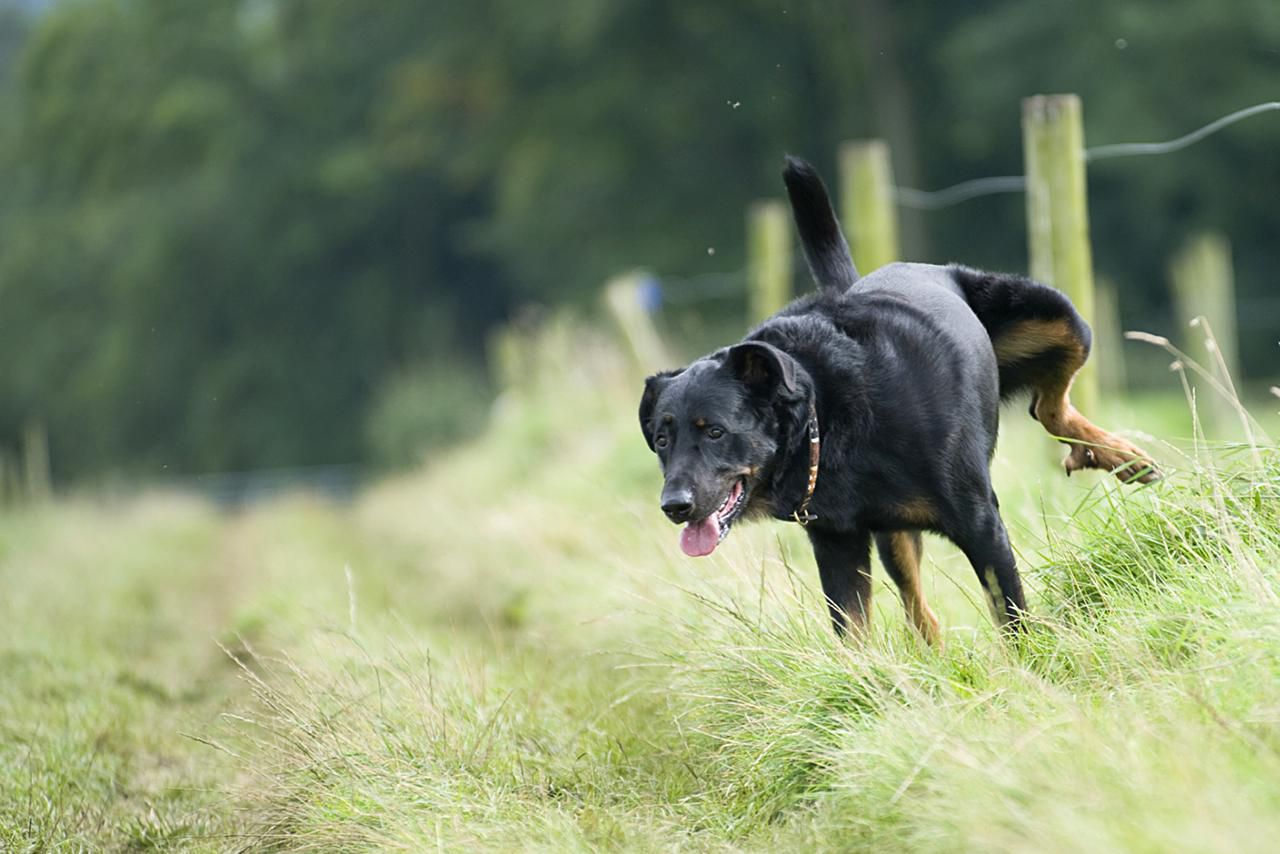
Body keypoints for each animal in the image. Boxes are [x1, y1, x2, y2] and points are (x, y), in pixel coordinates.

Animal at [640, 158, 1162, 640]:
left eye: (715, 431)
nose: (674, 506)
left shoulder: (981, 522)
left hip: (1057, 315)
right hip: (893, 534)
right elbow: (853, 631)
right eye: (661, 441)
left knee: (1050, 404)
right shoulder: (837, 542)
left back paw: (1120, 456)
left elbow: (1011, 614)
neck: (827, 416)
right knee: (920, 611)